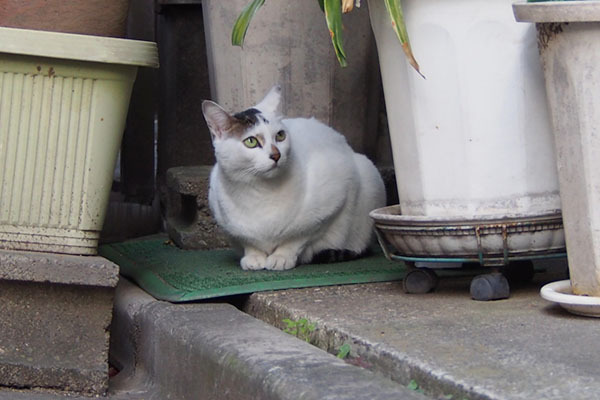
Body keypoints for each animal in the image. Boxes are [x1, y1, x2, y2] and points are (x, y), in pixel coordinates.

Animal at [204, 85, 386, 270]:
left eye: (280, 135)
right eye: (251, 142)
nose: (276, 155)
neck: (260, 193)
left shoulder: (331, 205)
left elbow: (297, 238)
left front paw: (281, 257)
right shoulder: (228, 222)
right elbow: (248, 240)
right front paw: (253, 257)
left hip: (368, 173)